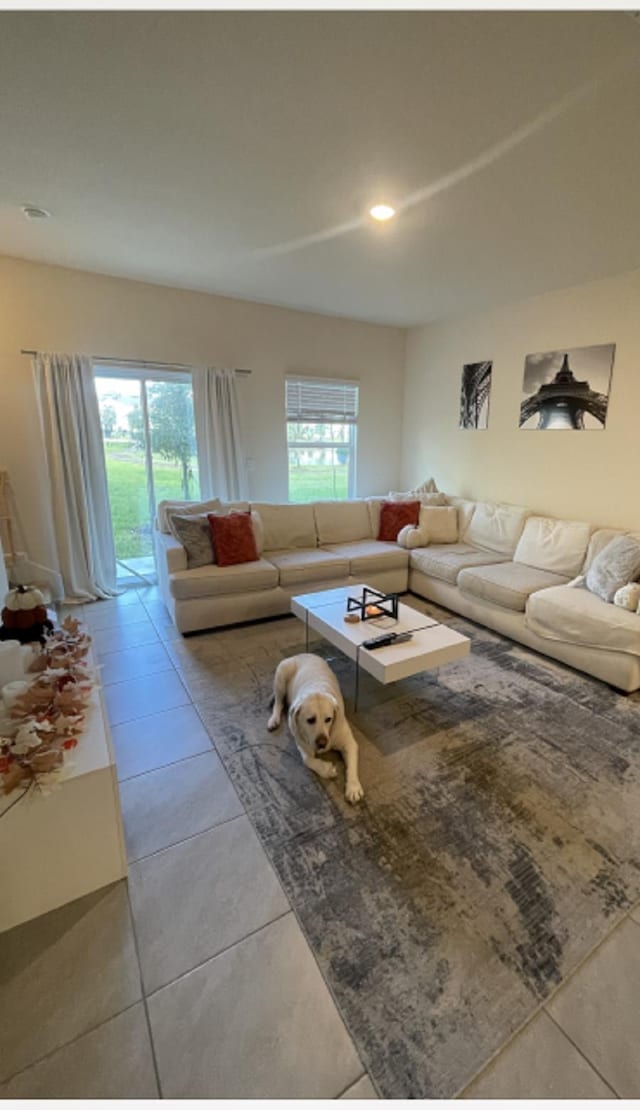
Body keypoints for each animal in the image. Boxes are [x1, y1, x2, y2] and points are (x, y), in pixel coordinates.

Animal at [266, 652, 363, 803]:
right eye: (310, 720)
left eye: (328, 719)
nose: (322, 743)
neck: (316, 689)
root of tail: (301, 654)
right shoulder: (302, 744)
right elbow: (308, 760)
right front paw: (327, 769)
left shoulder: (349, 743)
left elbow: (351, 766)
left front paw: (353, 787)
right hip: (281, 674)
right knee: (278, 702)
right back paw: (274, 720)